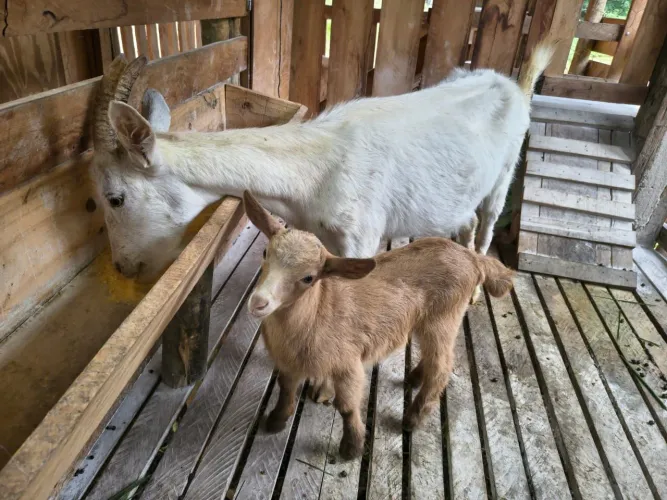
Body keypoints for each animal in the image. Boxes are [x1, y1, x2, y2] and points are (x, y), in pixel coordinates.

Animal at [89, 41, 554, 282]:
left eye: (114, 198)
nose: (123, 267)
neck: (314, 168)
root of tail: (513, 85)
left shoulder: (362, 236)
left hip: (506, 170)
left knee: (489, 220)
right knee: (467, 218)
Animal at [241, 190, 515, 459]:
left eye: (309, 278)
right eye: (265, 253)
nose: (258, 302)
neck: (316, 312)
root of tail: (472, 257)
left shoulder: (348, 364)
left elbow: (346, 407)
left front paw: (351, 447)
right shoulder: (288, 363)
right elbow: (286, 389)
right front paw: (276, 421)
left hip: (444, 318)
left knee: (442, 366)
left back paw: (413, 419)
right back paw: (415, 377)